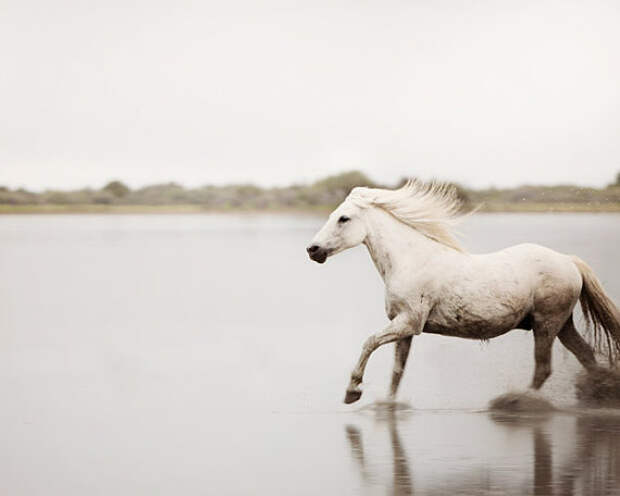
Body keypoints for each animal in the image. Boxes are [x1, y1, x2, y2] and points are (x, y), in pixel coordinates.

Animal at [308, 180, 620, 404]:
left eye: (343, 218)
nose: (312, 250)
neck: (411, 261)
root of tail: (569, 260)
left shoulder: (409, 322)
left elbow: (369, 343)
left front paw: (352, 391)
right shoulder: (404, 327)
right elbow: (397, 371)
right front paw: (387, 405)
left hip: (546, 324)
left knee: (544, 368)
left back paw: (516, 402)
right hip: (561, 324)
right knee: (586, 355)